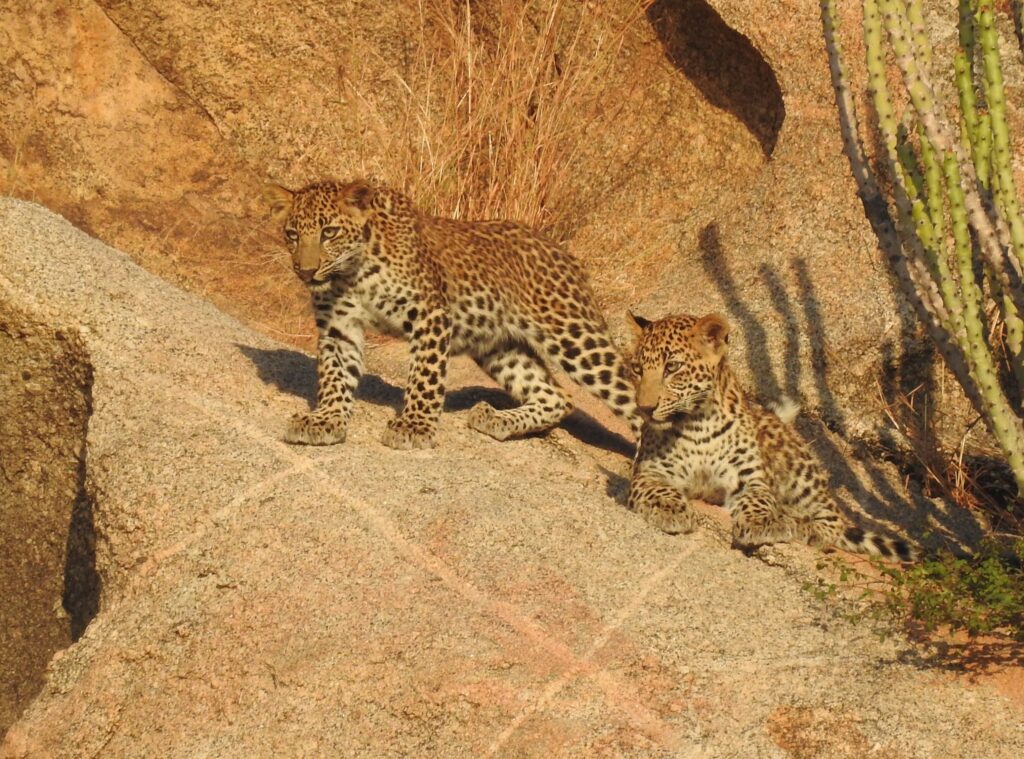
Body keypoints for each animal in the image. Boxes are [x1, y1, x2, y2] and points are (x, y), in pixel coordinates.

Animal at [264, 179, 641, 450]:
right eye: (292, 234)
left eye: (329, 232)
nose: (306, 271)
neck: (351, 274)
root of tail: (564, 253)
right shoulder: (338, 327)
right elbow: (334, 376)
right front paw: (326, 419)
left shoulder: (430, 315)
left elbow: (425, 376)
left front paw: (415, 426)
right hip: (499, 348)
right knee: (558, 396)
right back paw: (497, 420)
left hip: (575, 338)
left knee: (634, 398)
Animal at [624, 311, 914, 561]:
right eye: (637, 369)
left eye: (672, 367)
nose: (644, 407)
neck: (697, 424)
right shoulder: (649, 472)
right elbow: (659, 489)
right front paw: (670, 509)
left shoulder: (750, 479)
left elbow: (760, 500)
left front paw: (761, 522)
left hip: (800, 472)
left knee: (832, 519)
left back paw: (805, 526)